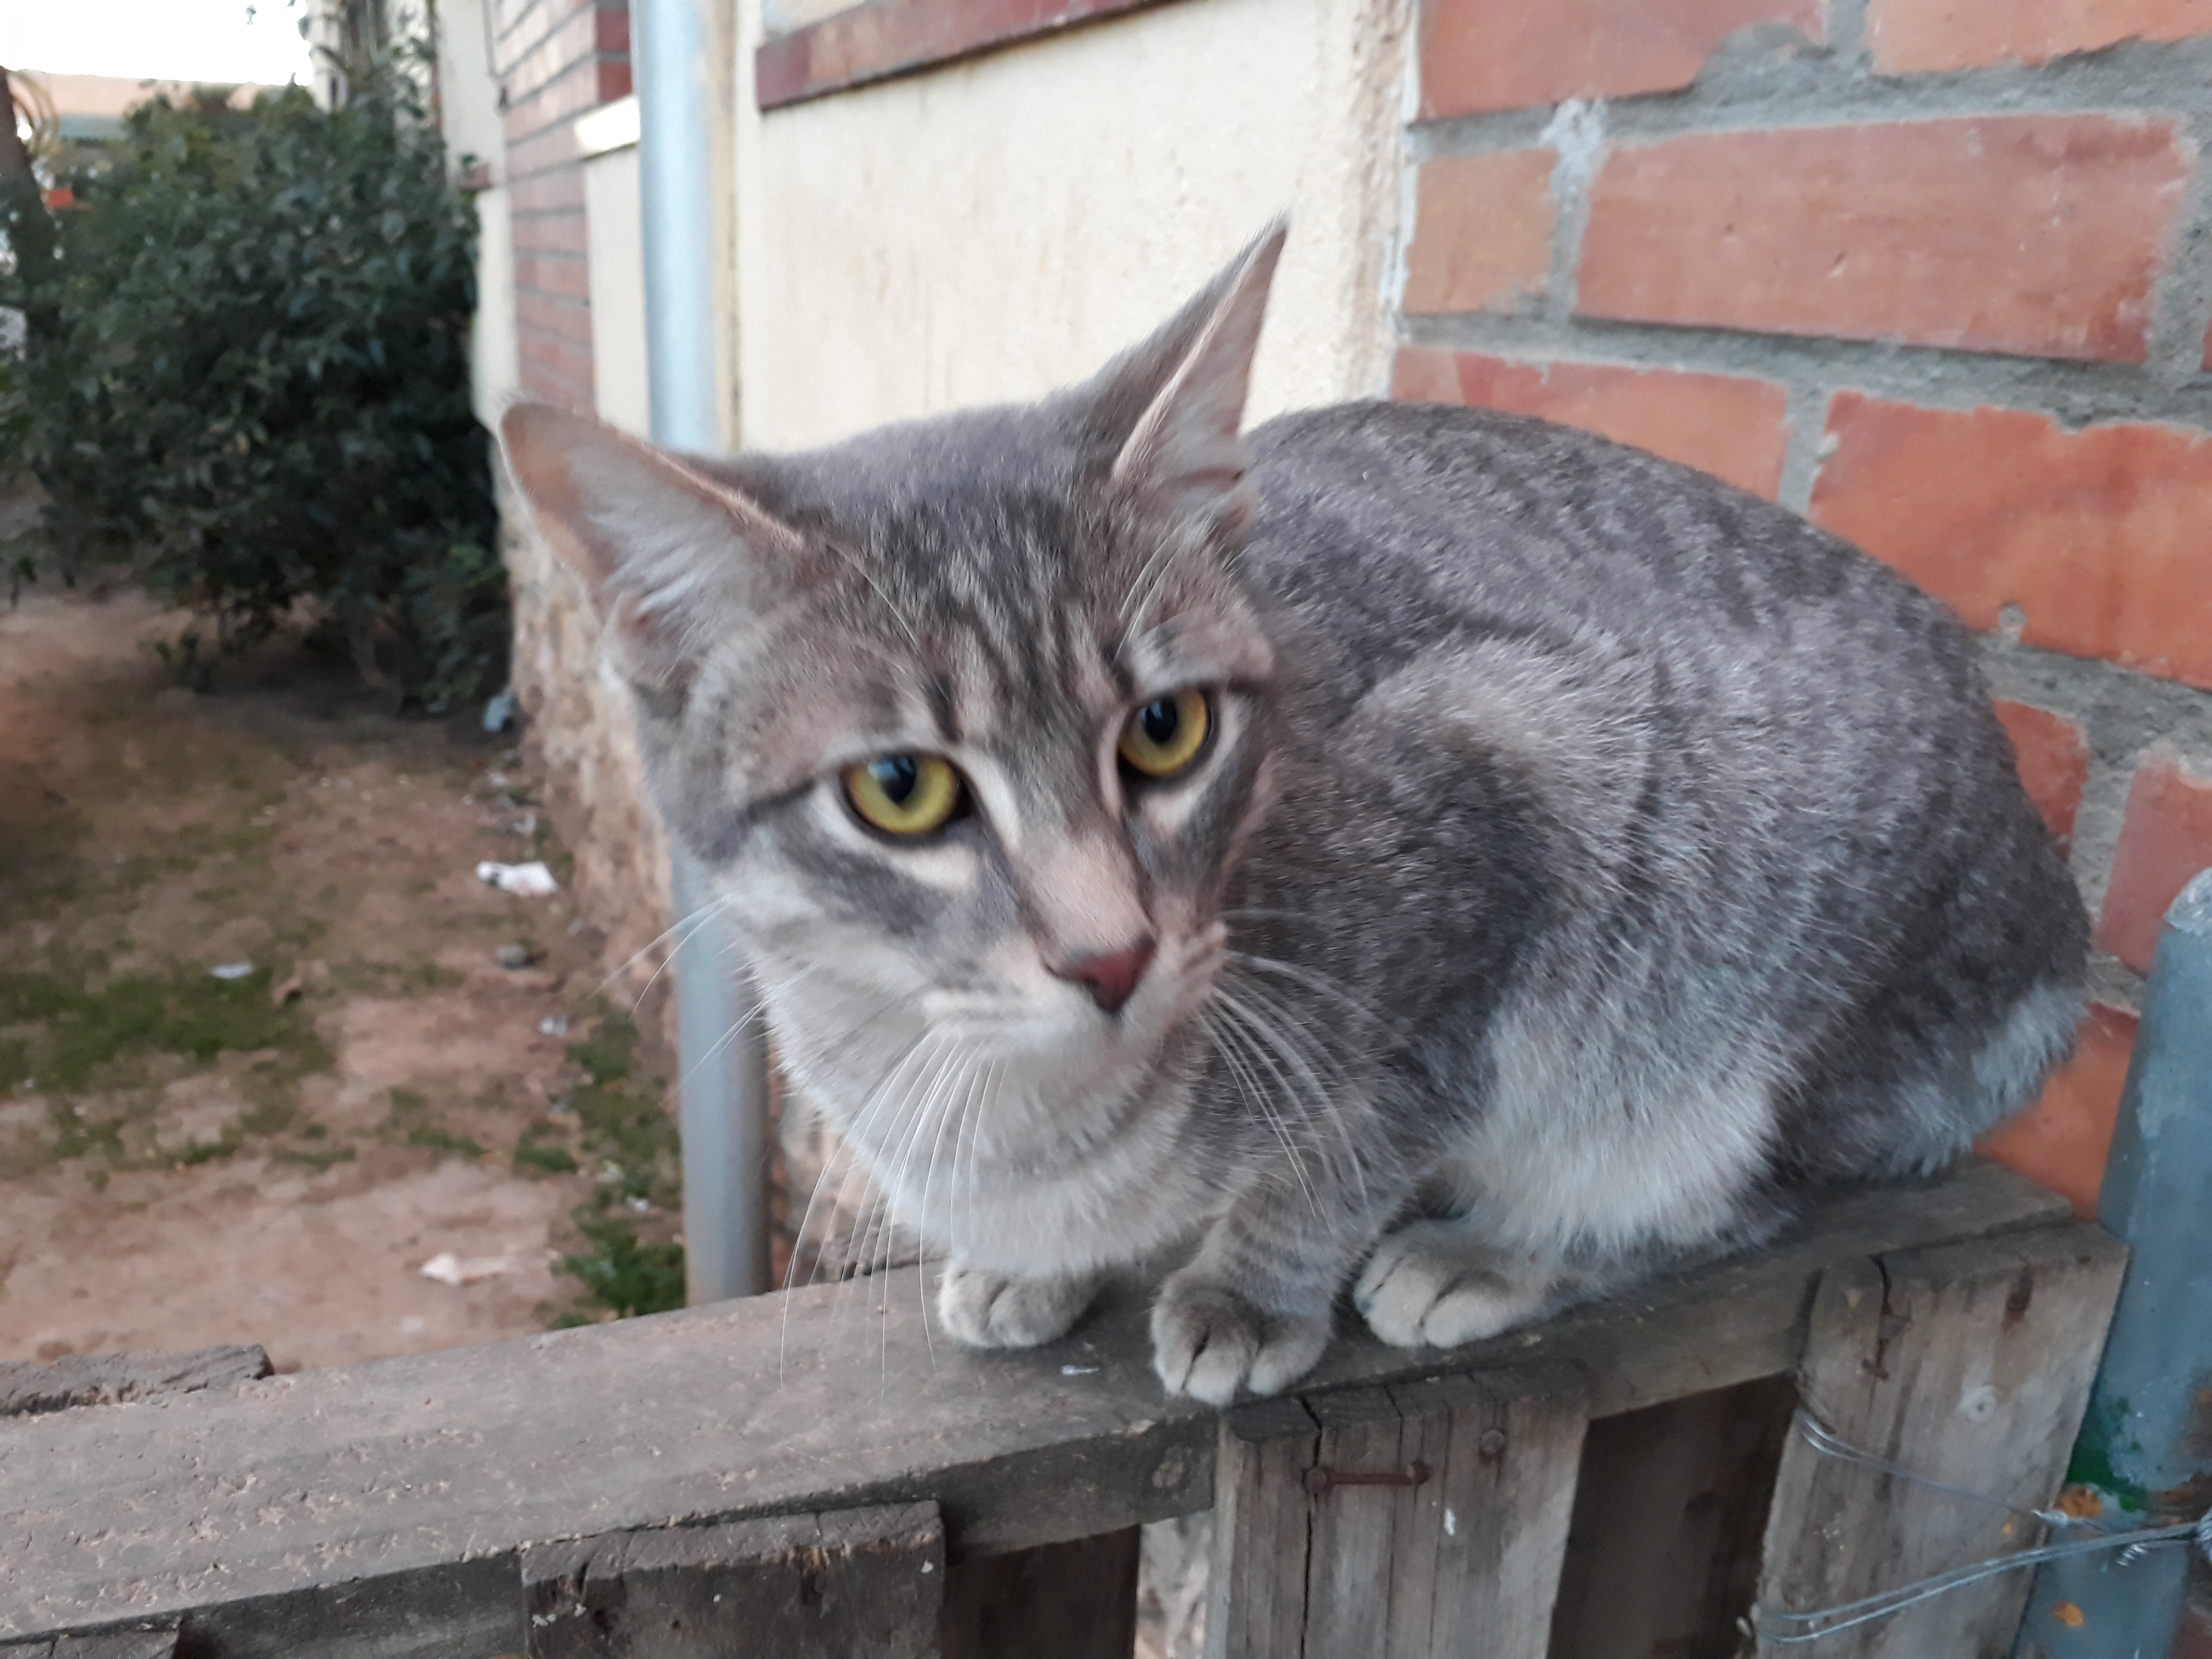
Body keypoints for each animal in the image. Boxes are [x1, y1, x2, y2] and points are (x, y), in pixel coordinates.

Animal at [499, 225, 2088, 1405]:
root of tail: (2062, 917)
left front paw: (1250, 1289)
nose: (1112, 956)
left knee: (1731, 1201)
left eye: (1167, 730)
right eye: (902, 789)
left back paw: (1498, 1252)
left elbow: (1350, 1142)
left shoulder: (1506, 806)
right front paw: (1032, 1264)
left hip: (1746, 1005)